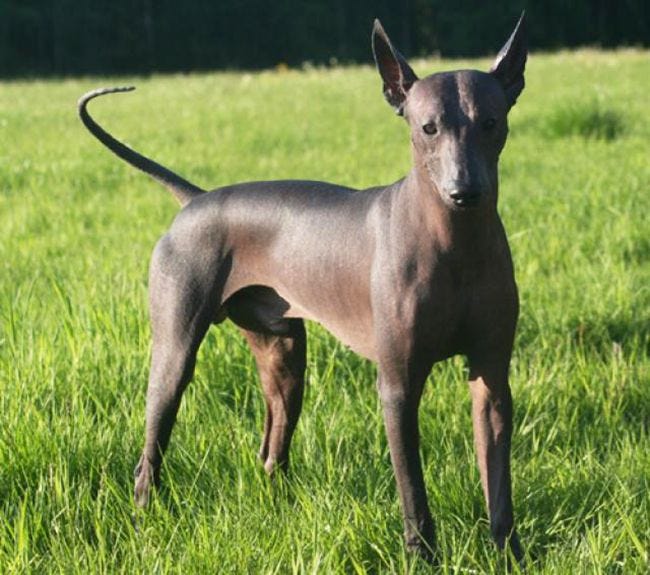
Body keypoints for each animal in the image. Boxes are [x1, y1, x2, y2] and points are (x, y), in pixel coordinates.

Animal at [79, 13, 528, 568]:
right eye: (428, 129)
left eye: (490, 123)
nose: (464, 192)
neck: (456, 242)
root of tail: (197, 199)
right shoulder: (398, 387)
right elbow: (413, 490)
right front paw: (421, 557)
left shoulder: (492, 379)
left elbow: (499, 484)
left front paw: (511, 556)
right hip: (174, 356)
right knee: (151, 453)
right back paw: (146, 523)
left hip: (284, 357)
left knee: (272, 449)